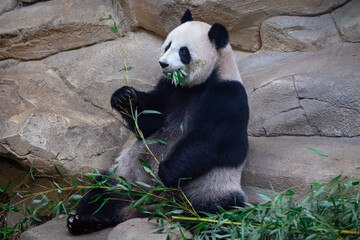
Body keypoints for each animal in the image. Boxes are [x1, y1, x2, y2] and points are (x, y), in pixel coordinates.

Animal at [67, 9, 248, 234]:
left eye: (184, 51)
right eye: (168, 44)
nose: (163, 63)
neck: (196, 85)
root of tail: (147, 209)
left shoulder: (227, 95)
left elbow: (214, 141)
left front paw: (166, 172)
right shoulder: (169, 89)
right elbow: (149, 122)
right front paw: (124, 96)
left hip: (211, 189)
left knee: (221, 214)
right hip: (125, 177)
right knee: (103, 192)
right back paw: (83, 220)